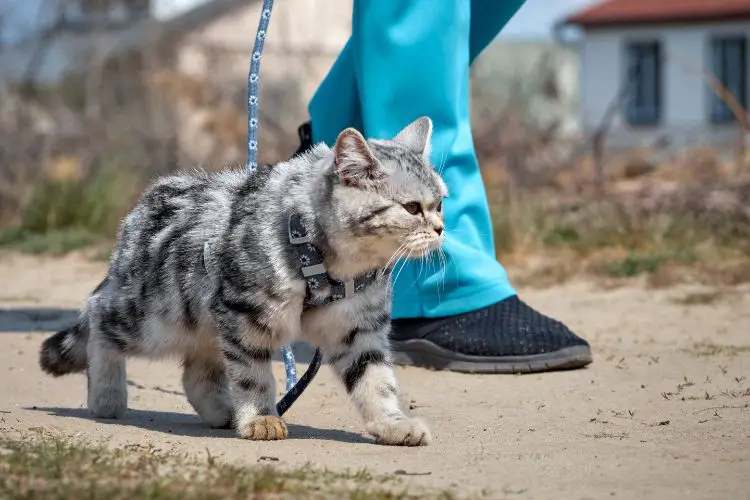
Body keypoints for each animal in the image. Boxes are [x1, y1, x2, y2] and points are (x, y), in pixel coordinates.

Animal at [39, 116, 446, 446]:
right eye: (412, 208)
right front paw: (261, 418)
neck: (333, 266)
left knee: (197, 373)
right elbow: (253, 375)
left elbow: (376, 380)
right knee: (99, 318)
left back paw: (223, 411)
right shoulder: (245, 314)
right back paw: (106, 395)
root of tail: (144, 205)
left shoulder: (358, 328)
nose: (442, 228)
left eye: (441, 202)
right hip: (156, 319)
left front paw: (393, 424)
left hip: (202, 321)